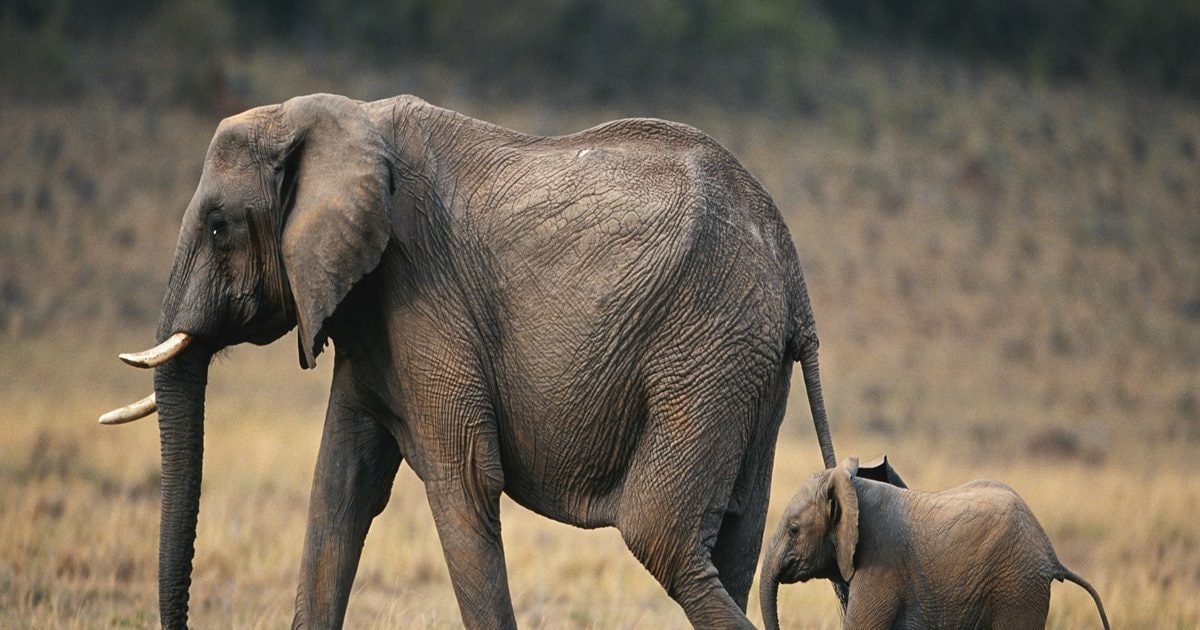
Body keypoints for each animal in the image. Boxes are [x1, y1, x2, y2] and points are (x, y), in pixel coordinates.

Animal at [99, 93, 837, 629]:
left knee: (663, 537)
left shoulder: (422, 292)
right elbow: (341, 485)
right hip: (747, 368)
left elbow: (464, 481)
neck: (332, 117)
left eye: (219, 226)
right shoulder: (371, 318)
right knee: (730, 545)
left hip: (707, 346)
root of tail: (793, 269)